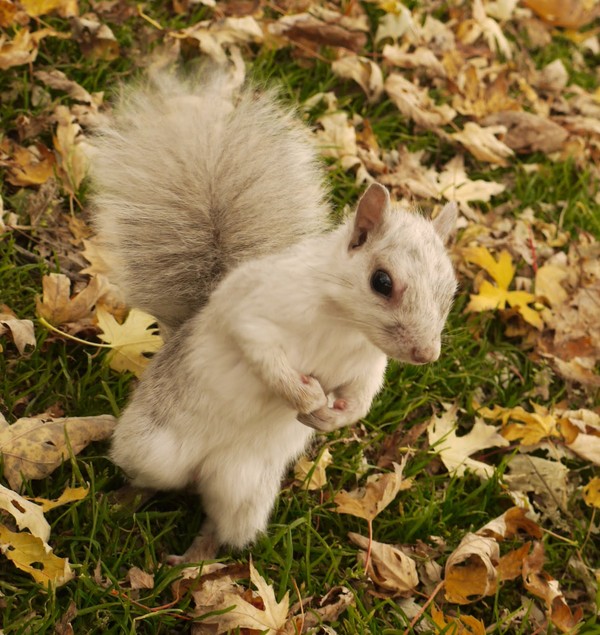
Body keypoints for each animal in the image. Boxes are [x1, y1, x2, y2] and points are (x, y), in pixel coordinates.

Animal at [89, 71, 458, 568]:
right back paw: (119, 503)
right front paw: (305, 397)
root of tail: (199, 470)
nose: (425, 354)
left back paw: (195, 560)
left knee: (217, 521)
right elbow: (261, 352)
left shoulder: (368, 364)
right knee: (149, 481)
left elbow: (363, 396)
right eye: (381, 281)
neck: (344, 327)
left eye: (450, 291)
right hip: (150, 447)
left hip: (244, 489)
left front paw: (335, 417)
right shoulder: (252, 312)